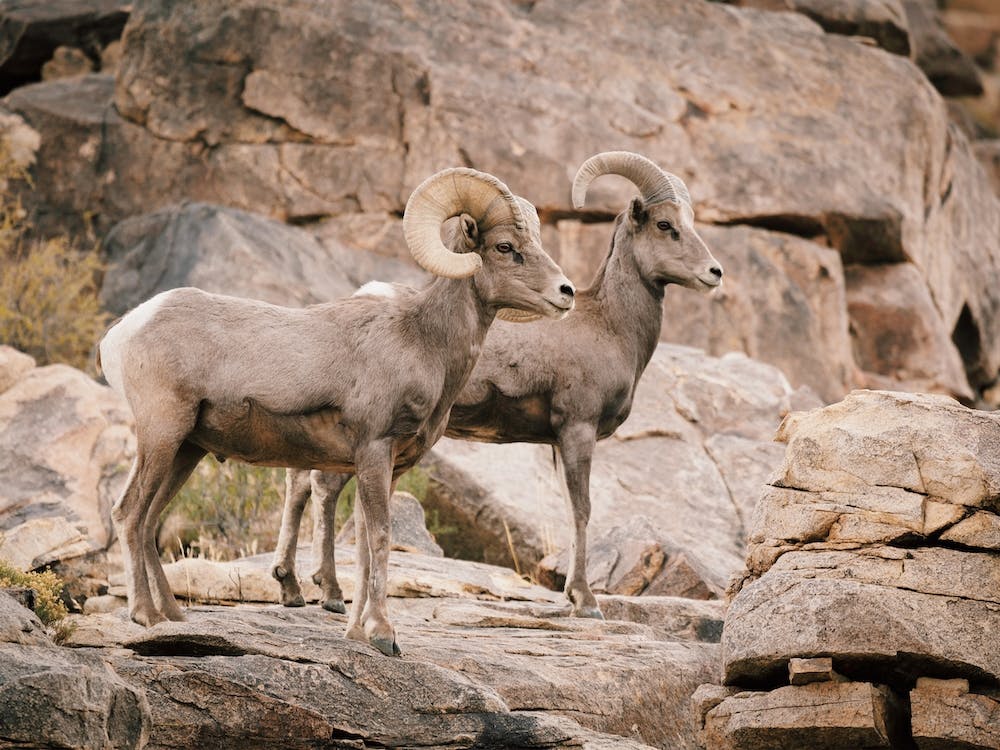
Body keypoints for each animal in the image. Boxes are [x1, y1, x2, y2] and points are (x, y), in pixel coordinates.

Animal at [98, 167, 575, 656]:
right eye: (505, 247)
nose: (566, 292)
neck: (423, 341)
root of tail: (123, 332)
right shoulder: (374, 450)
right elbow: (380, 538)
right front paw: (384, 636)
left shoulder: (387, 467)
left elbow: (363, 547)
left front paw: (356, 632)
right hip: (162, 435)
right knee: (129, 513)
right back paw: (146, 615)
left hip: (186, 450)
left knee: (150, 521)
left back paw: (173, 615)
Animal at [272, 151, 722, 619]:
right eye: (665, 225)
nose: (715, 273)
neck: (611, 326)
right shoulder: (577, 430)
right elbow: (581, 510)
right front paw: (585, 601)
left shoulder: (559, 444)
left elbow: (569, 510)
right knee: (323, 489)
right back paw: (329, 593)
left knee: (299, 483)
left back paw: (292, 587)